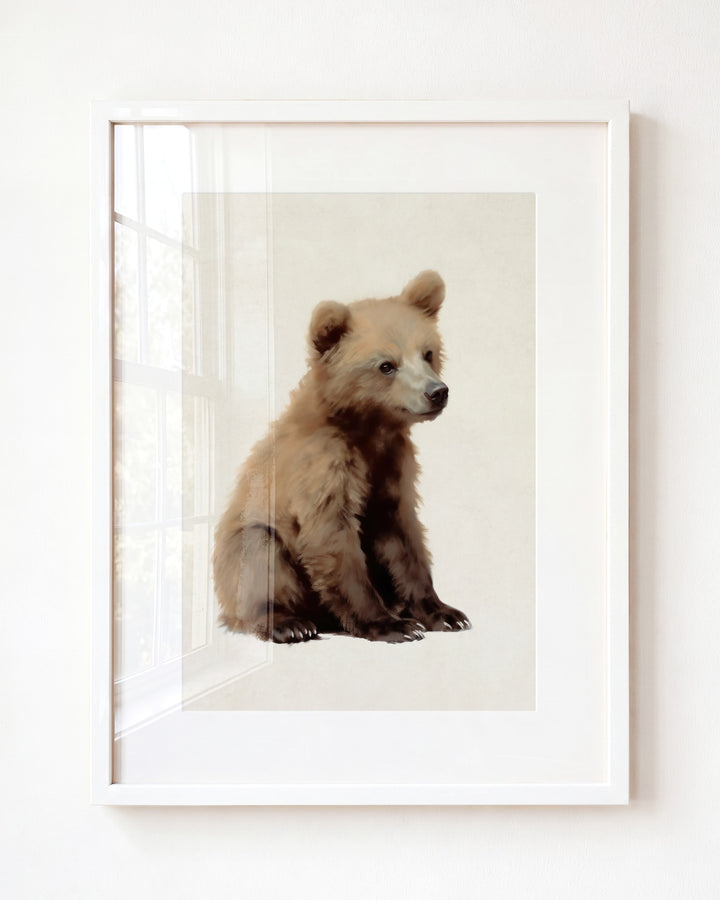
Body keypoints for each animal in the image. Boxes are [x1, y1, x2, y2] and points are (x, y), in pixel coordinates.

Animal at [212, 270, 471, 644]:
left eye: (427, 353)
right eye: (386, 365)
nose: (437, 392)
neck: (368, 429)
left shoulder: (392, 466)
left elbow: (403, 537)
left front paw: (444, 613)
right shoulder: (322, 465)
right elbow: (332, 537)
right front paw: (392, 625)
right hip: (246, 550)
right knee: (259, 553)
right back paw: (290, 623)